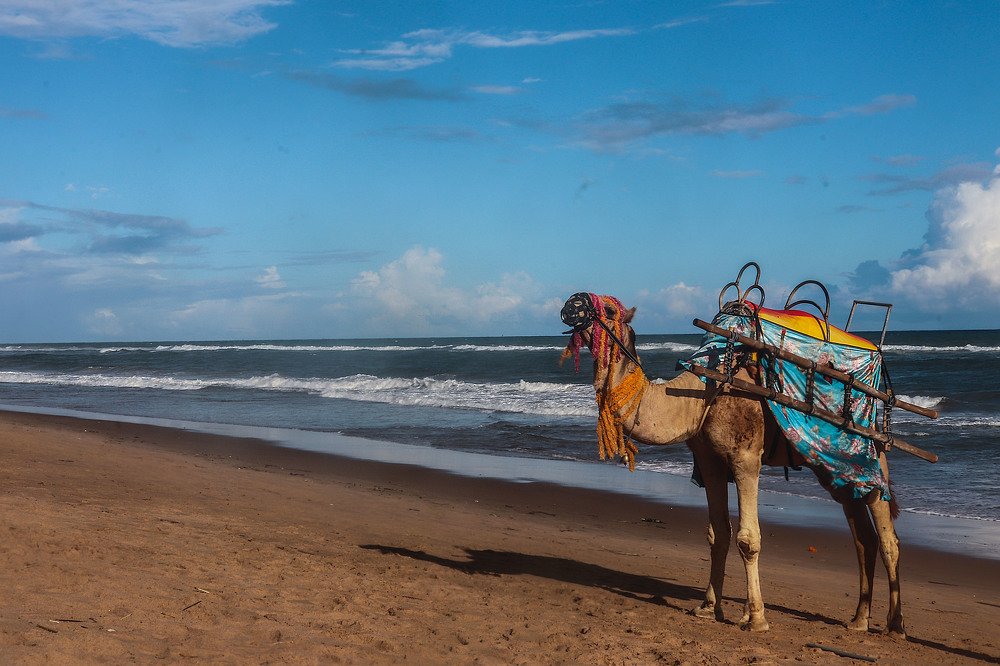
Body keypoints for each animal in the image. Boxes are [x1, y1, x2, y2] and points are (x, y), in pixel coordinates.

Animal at [561, 293, 904, 636]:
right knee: (863, 537)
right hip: (834, 469)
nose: (571, 304)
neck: (701, 393)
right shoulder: (709, 460)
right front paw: (708, 607)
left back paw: (895, 624)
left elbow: (747, 538)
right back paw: (859, 620)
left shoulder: (745, 457)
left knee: (888, 536)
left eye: (608, 309)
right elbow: (717, 535)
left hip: (871, 453)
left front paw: (756, 618)